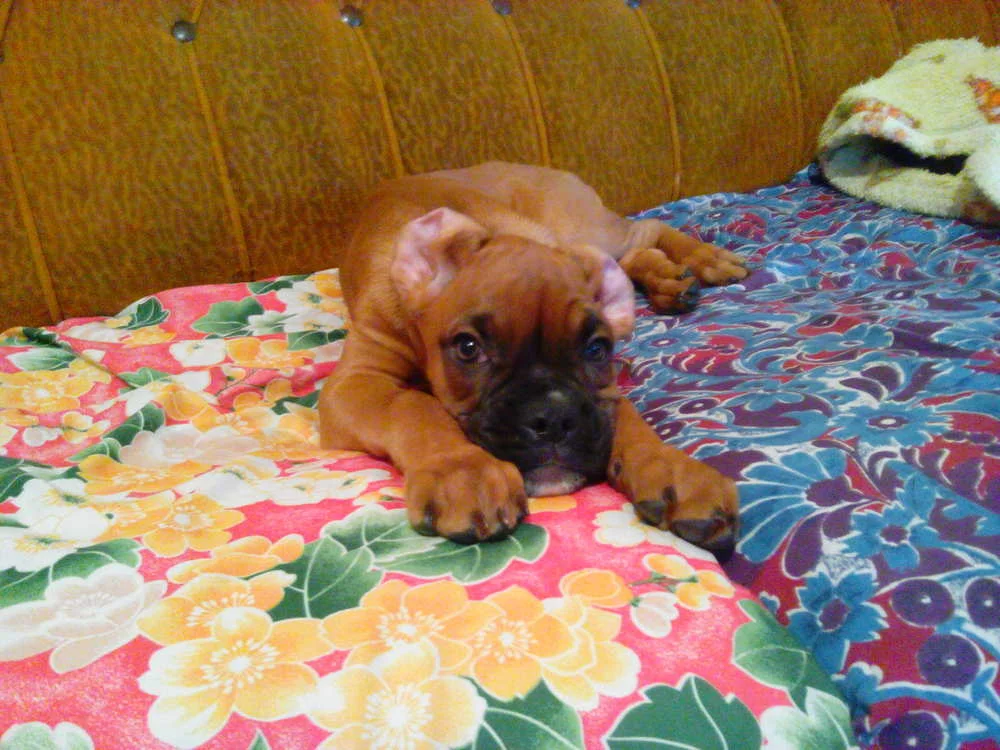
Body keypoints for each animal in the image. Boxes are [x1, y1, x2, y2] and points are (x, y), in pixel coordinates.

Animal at [318, 162, 746, 558]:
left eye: (597, 349)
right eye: (468, 348)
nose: (554, 417)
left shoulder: (603, 391)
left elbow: (626, 417)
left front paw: (673, 467)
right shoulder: (356, 382)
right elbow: (413, 406)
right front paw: (463, 469)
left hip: (585, 231)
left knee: (645, 230)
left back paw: (703, 259)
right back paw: (671, 281)